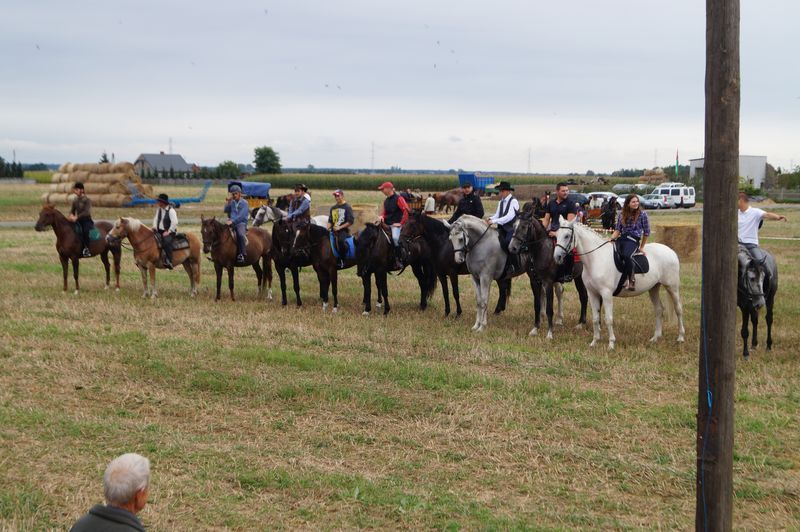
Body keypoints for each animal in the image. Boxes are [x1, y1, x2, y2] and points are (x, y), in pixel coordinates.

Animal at [510, 204, 592, 336]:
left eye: (524, 226)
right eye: (514, 226)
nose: (512, 247)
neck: (541, 250)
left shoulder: (548, 282)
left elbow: (549, 308)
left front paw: (549, 333)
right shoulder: (535, 282)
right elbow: (537, 305)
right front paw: (535, 329)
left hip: (580, 278)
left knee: (583, 296)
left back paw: (581, 323)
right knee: (583, 296)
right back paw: (581, 323)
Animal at [552, 216, 684, 350]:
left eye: (567, 236)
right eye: (557, 234)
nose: (557, 257)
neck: (596, 258)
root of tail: (671, 251)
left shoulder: (606, 294)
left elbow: (608, 319)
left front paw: (611, 344)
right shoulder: (592, 293)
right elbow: (595, 318)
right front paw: (594, 341)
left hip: (672, 287)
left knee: (678, 309)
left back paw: (680, 337)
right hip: (654, 288)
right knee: (659, 309)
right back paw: (655, 338)